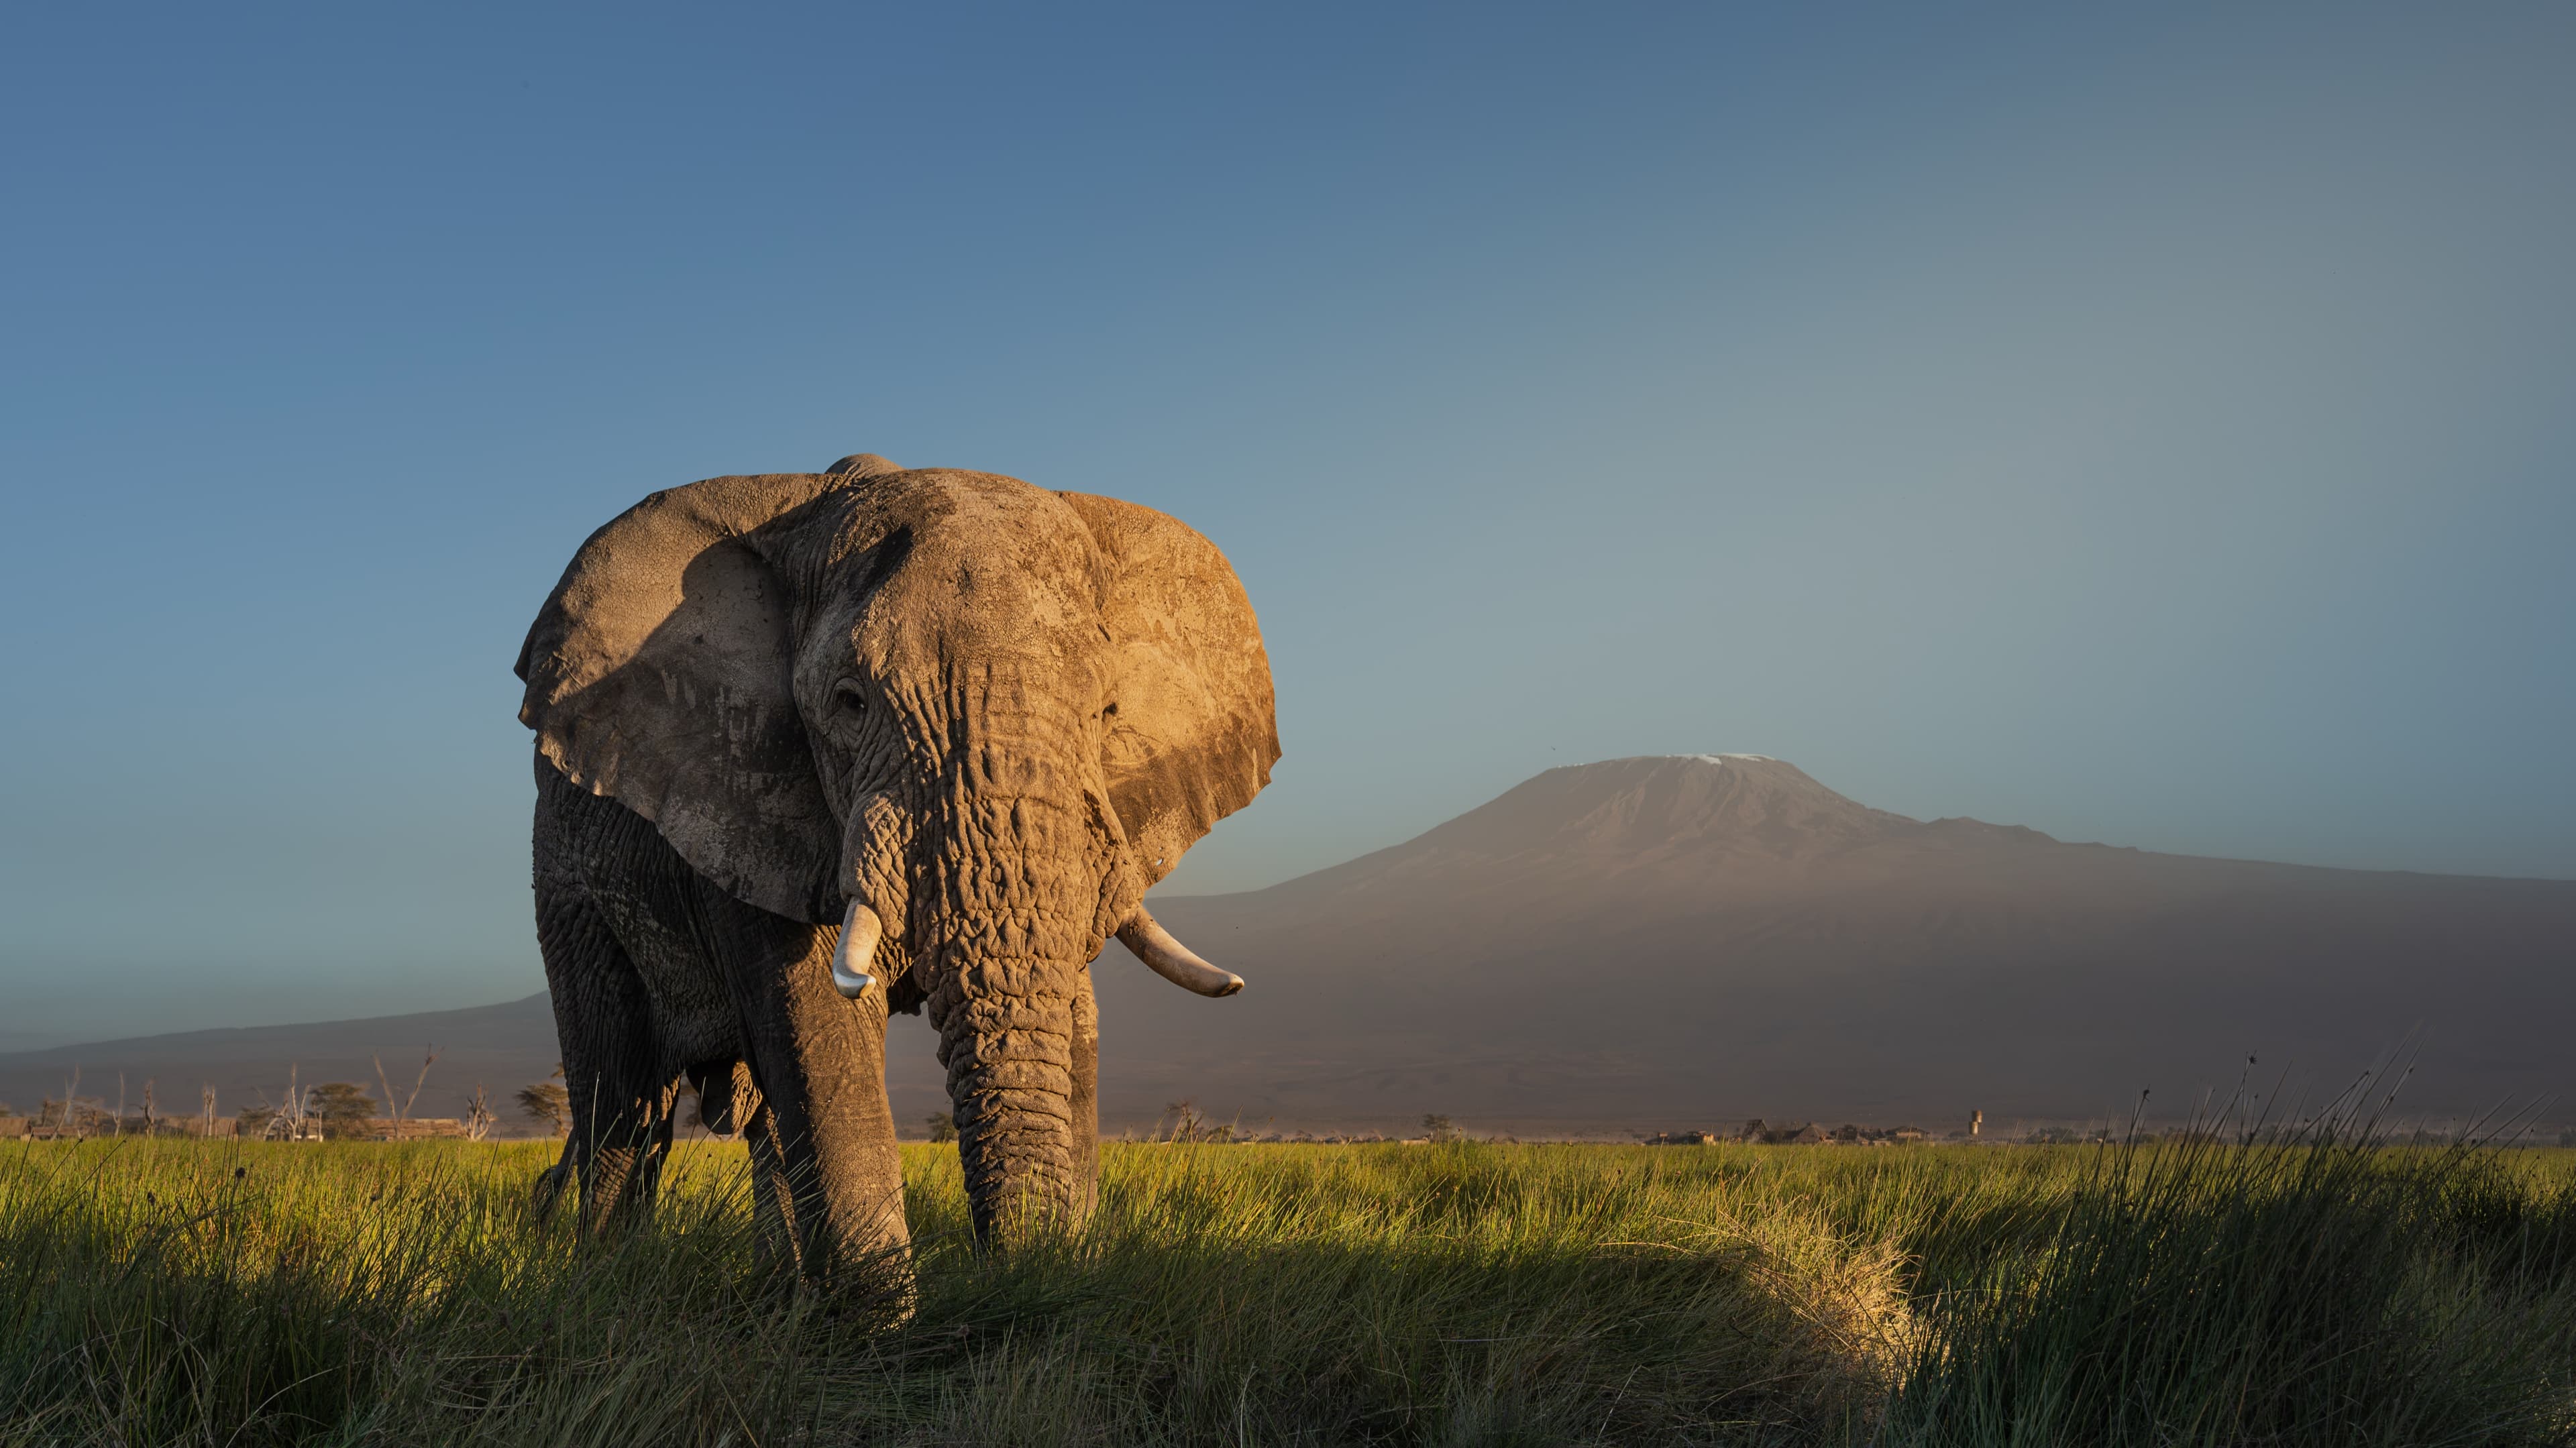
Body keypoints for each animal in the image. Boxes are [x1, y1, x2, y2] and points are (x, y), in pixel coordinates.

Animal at [513, 454, 1277, 1273]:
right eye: (849, 703)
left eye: (1106, 714)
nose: (1007, 1277)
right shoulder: (747, 797)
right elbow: (823, 1030)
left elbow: (1075, 1018)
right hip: (567, 882)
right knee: (621, 1102)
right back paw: (606, 1271)